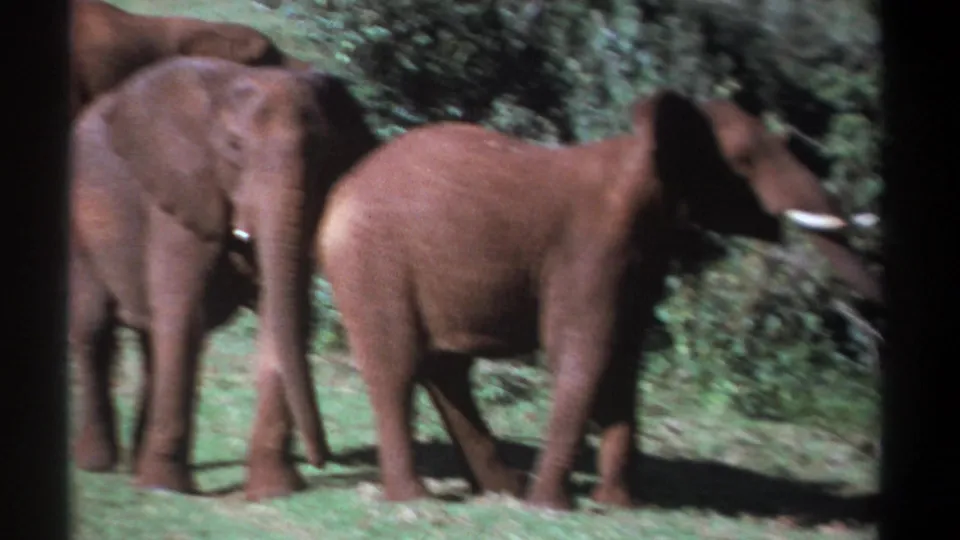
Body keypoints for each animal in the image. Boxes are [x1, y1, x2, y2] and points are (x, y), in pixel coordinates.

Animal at [69, 55, 379, 501]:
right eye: (234, 147)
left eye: (324, 151)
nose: (323, 458)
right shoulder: (182, 192)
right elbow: (184, 315)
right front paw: (165, 488)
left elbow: (282, 318)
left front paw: (274, 491)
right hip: (80, 231)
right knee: (94, 327)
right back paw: (99, 465)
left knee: (150, 338)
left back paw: (135, 464)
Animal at [316, 89, 883, 511]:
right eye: (743, 161)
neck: (641, 153)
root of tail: (341, 191)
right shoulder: (590, 249)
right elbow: (584, 352)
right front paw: (551, 507)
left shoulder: (640, 256)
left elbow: (624, 360)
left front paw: (618, 505)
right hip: (372, 264)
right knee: (397, 369)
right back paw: (415, 500)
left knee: (445, 368)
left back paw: (502, 489)